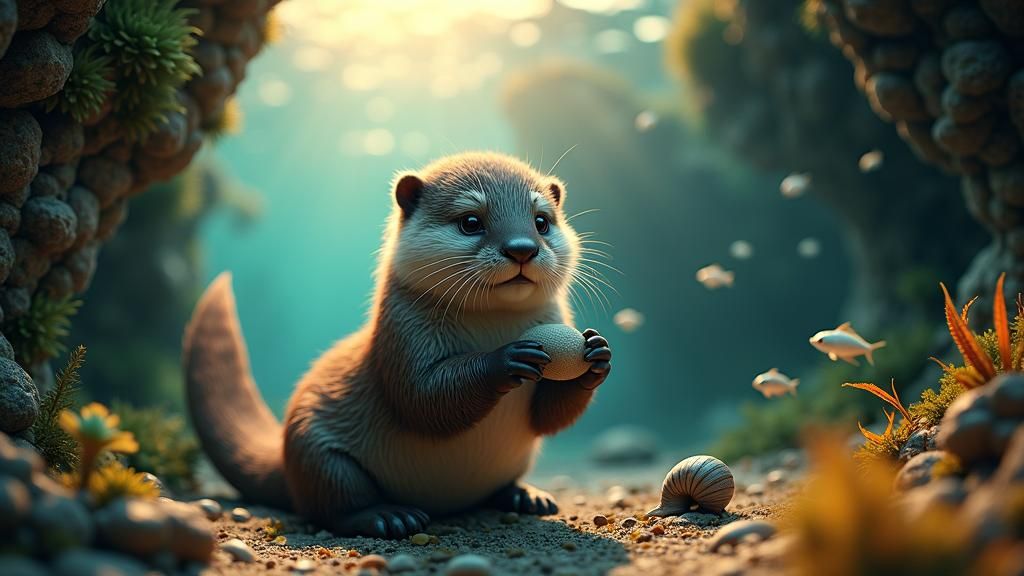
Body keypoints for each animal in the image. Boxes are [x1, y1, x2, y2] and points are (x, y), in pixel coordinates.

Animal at [183, 152, 612, 538]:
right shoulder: (401, 337)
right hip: (317, 454)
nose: (522, 247)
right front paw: (505, 358)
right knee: (332, 505)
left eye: (541, 221)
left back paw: (526, 496)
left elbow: (548, 417)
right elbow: (421, 398)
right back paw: (387, 517)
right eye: (471, 221)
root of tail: (284, 464)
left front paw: (596, 355)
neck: (493, 328)